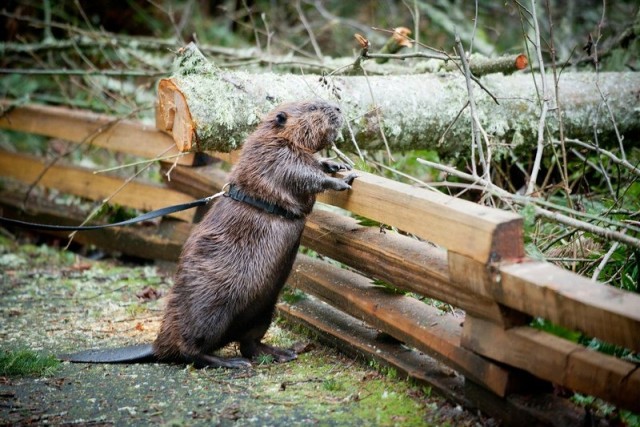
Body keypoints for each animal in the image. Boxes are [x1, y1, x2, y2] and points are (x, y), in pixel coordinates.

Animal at [61, 99, 356, 368]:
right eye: (313, 107)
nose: (339, 108)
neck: (274, 135)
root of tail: (156, 346)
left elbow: (311, 165)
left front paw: (335, 165)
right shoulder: (274, 156)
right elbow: (301, 173)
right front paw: (342, 180)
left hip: (264, 308)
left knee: (248, 342)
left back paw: (281, 353)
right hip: (213, 309)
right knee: (191, 351)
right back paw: (232, 363)